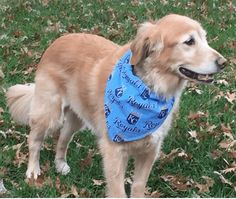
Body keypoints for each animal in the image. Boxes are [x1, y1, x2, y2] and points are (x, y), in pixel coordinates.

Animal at [6, 14, 226, 197]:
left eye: (205, 38)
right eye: (189, 41)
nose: (223, 62)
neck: (149, 89)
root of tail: (57, 40)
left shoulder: (150, 150)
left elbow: (138, 186)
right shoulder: (114, 152)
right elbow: (118, 191)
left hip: (76, 119)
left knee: (62, 139)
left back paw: (60, 164)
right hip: (49, 113)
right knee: (34, 140)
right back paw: (33, 170)